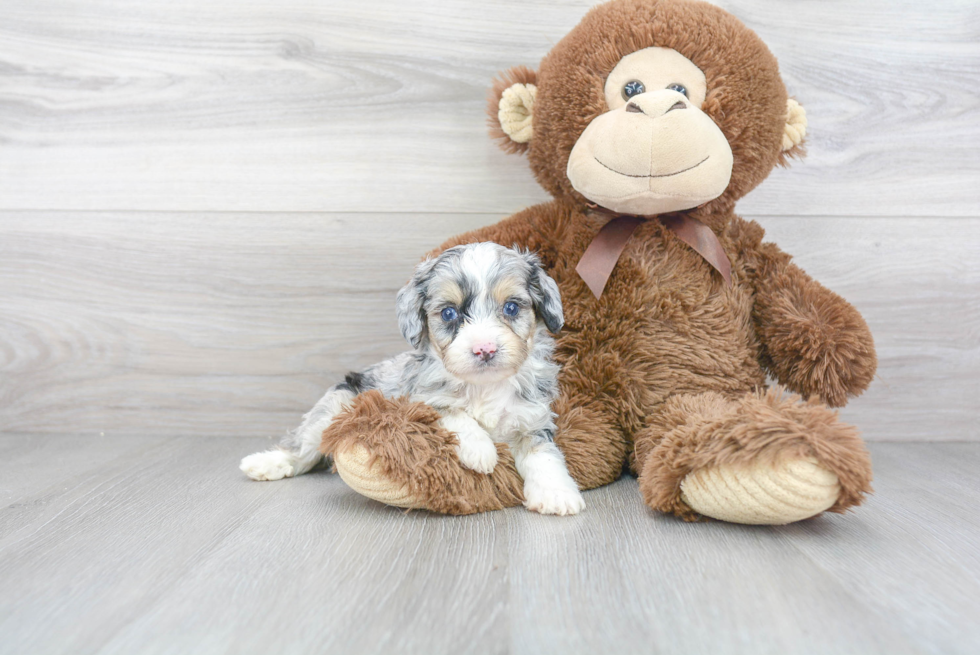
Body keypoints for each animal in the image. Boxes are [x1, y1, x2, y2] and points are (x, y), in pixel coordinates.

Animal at [241, 242, 584, 516]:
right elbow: (454, 413)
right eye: (449, 313)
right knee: (300, 447)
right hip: (334, 406)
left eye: (511, 307)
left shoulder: (533, 419)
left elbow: (544, 455)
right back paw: (265, 464)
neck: (484, 385)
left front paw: (556, 494)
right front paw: (481, 451)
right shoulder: (418, 401)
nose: (484, 349)